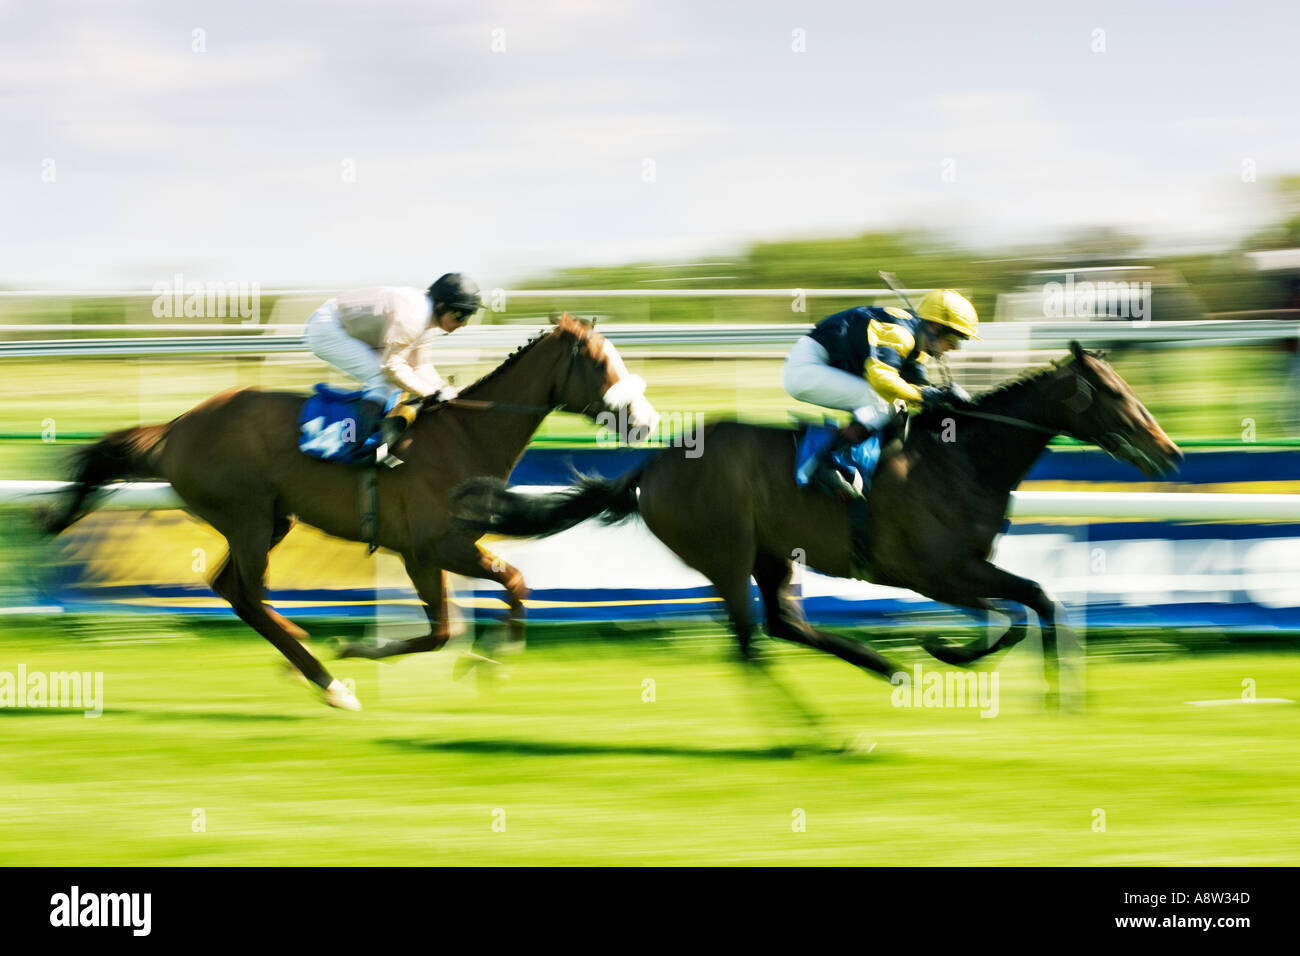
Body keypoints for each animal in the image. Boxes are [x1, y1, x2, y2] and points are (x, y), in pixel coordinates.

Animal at [43, 310, 660, 707]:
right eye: (600, 362)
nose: (646, 421)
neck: (466, 436)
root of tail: (175, 428)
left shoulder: (436, 551)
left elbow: (477, 609)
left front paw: (484, 658)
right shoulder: (432, 548)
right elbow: (486, 600)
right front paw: (470, 658)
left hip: (273, 519)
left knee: (228, 586)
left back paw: (302, 656)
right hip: (247, 516)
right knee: (247, 594)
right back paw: (325, 680)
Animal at [452, 343, 1185, 702]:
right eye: (1113, 394)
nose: (1171, 453)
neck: (962, 457)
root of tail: (648, 468)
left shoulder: (961, 569)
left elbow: (1038, 601)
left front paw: (1063, 690)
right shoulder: (935, 571)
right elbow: (1016, 610)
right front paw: (949, 650)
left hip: (772, 553)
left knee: (786, 624)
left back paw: (880, 668)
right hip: (725, 555)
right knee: (753, 644)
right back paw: (826, 727)